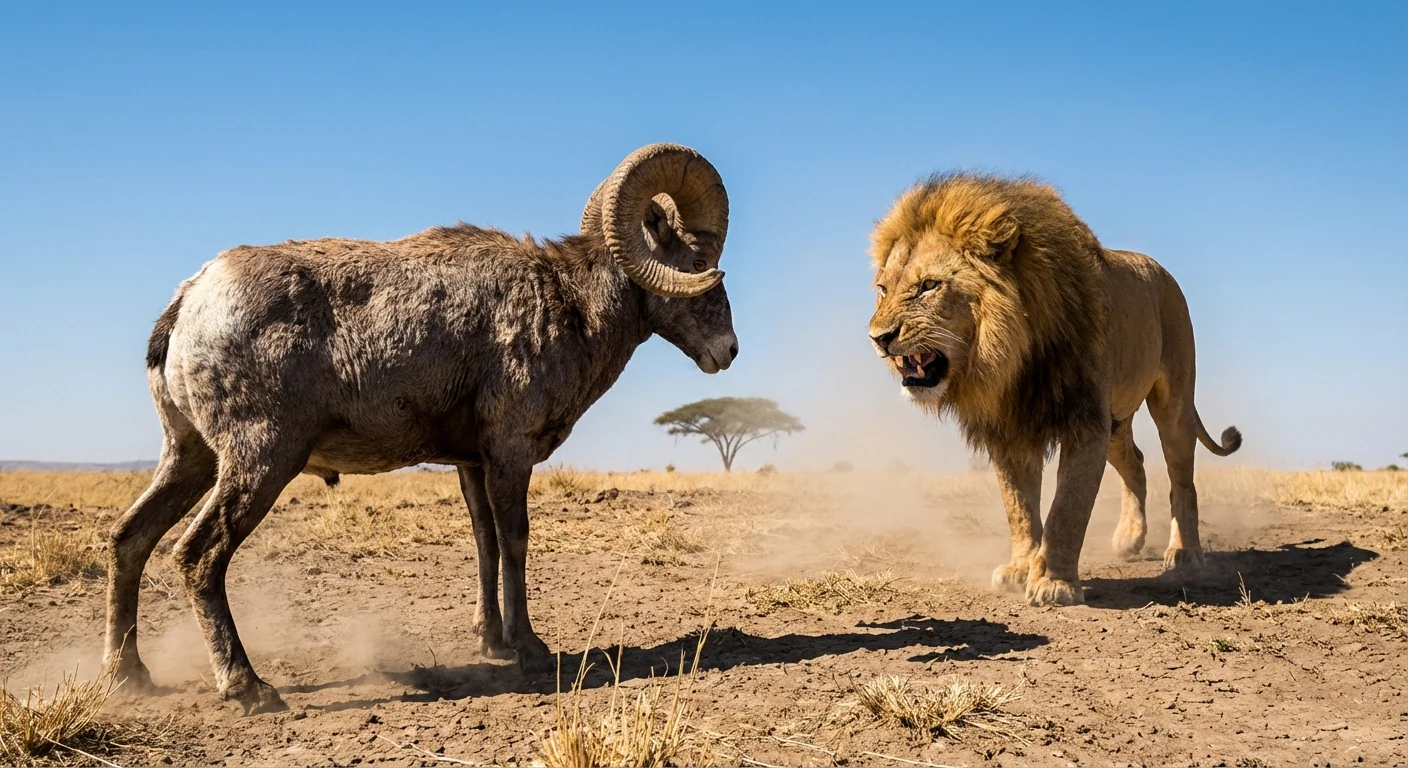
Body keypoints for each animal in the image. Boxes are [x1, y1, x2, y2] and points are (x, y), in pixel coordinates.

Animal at [867, 172, 1241, 606]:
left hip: (1172, 402)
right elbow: (1019, 508)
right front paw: (1020, 568)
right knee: (1136, 462)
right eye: (882, 289)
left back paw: (1185, 553)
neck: (1009, 360)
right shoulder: (1009, 429)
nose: (878, 338)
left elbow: (1068, 508)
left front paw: (1053, 582)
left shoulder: (1085, 422)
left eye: (929, 285)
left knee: (1182, 480)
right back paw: (1130, 538)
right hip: (1115, 421)